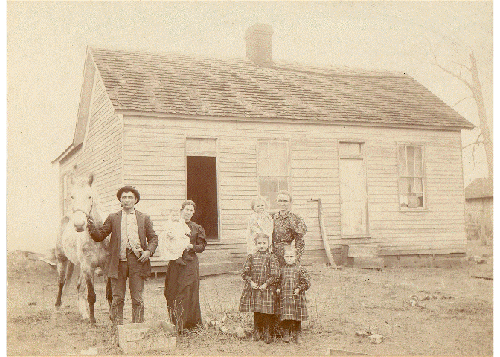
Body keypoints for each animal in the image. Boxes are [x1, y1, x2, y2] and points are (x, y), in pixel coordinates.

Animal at [55, 172, 112, 322]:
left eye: (90, 196)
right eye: (72, 196)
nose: (79, 225)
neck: (98, 238)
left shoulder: (106, 267)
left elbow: (109, 293)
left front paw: (113, 318)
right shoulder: (88, 267)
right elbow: (91, 296)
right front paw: (93, 322)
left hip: (78, 265)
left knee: (79, 286)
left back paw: (84, 313)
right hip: (62, 260)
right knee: (61, 282)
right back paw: (57, 307)